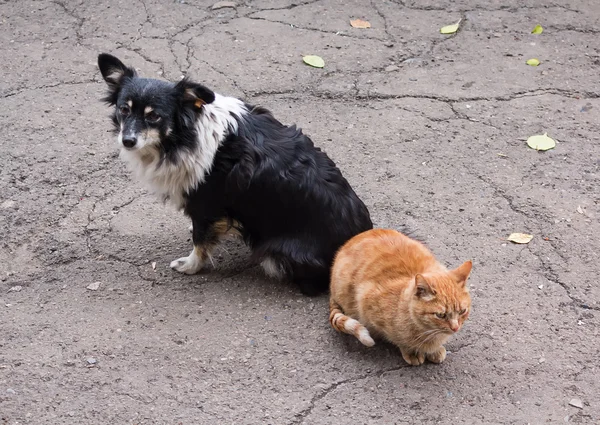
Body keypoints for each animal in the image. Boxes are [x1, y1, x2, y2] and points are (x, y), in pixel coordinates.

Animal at [96, 53, 372, 294]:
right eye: (123, 110)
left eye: (154, 116)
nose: (127, 141)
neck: (184, 135)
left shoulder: (206, 202)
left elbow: (200, 241)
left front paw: (191, 266)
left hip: (274, 251)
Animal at [328, 229, 474, 364]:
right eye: (441, 315)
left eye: (462, 311)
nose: (455, 328)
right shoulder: (368, 306)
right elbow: (398, 338)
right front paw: (411, 351)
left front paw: (434, 350)